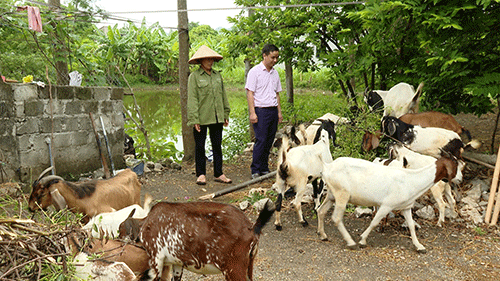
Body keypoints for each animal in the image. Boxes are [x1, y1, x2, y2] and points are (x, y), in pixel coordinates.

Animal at [119, 199, 276, 280]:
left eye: (120, 230)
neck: (146, 224)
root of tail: (251, 228)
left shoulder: (156, 259)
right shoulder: (177, 263)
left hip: (234, 268)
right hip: (249, 265)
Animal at [318, 151, 462, 252]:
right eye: (455, 165)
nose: (460, 179)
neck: (412, 180)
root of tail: (327, 167)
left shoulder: (406, 207)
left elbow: (411, 226)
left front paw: (419, 246)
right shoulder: (387, 205)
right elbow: (374, 222)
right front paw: (363, 240)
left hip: (331, 194)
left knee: (321, 211)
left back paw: (323, 235)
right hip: (341, 193)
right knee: (336, 218)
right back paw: (351, 242)